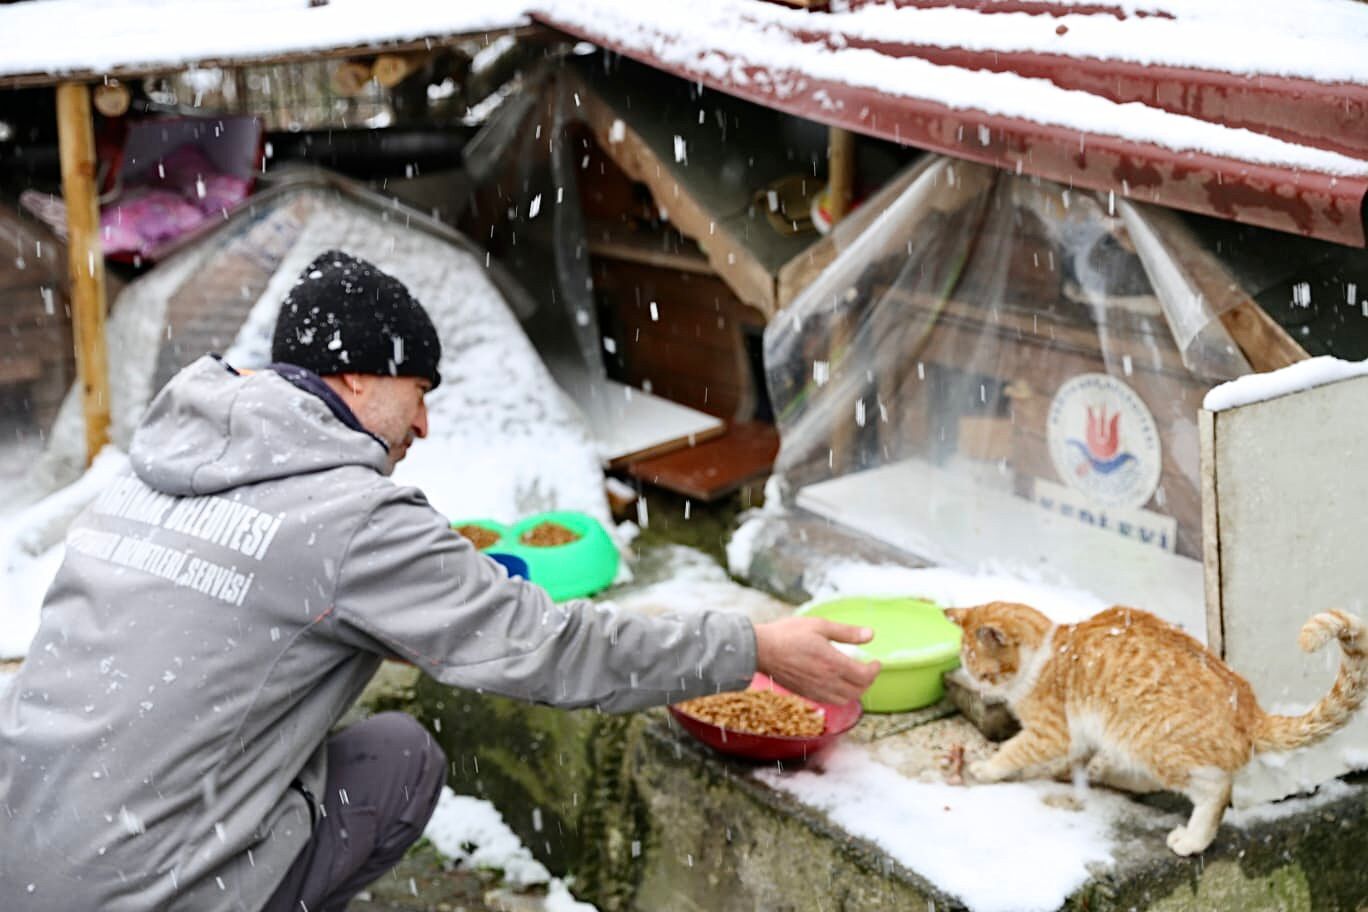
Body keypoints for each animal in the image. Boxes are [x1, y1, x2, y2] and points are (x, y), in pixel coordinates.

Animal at [946, 607, 1362, 858]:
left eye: (978, 669)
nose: (976, 688)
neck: (1047, 652)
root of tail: (1250, 709)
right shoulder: (1076, 739)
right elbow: (1057, 758)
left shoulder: (1051, 732)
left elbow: (1014, 749)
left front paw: (987, 768)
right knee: (1145, 781)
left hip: (1151, 741)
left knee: (1215, 790)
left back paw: (1192, 839)